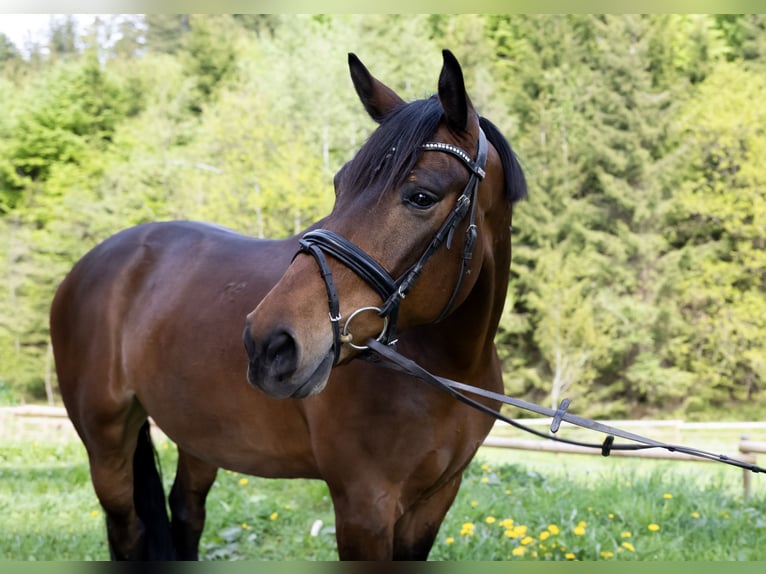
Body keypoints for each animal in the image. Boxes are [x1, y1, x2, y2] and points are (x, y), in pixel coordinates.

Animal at [49, 50, 527, 561]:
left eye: (422, 196)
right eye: (340, 184)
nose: (268, 344)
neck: (444, 369)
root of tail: (89, 265)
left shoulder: (435, 501)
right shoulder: (364, 507)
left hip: (198, 437)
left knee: (186, 513)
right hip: (106, 444)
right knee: (128, 530)